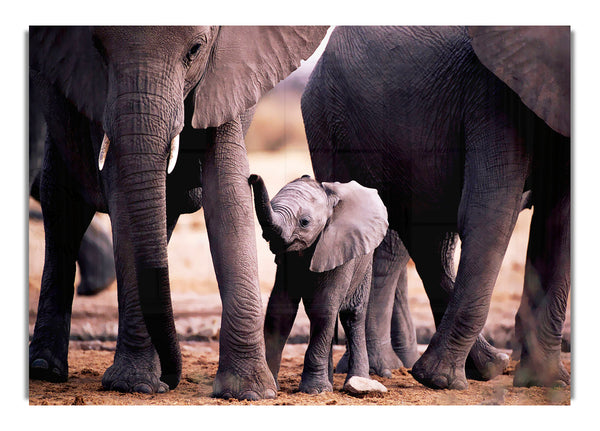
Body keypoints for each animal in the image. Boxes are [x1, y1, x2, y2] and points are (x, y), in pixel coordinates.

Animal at [28, 25, 328, 400]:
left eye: (195, 49)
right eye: (97, 47)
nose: (172, 380)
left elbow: (229, 194)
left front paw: (249, 392)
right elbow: (121, 191)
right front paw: (134, 385)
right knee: (62, 207)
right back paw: (45, 369)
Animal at [248, 175, 390, 394]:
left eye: (304, 222)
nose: (253, 177)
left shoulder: (339, 246)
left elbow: (323, 307)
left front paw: (314, 390)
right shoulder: (287, 259)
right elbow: (280, 309)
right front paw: (273, 386)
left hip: (365, 263)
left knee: (352, 316)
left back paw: (356, 381)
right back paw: (330, 383)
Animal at [302, 27, 568, 392]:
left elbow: (559, 226)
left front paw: (546, 381)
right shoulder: (493, 94)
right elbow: (490, 216)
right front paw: (441, 381)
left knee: (429, 240)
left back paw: (484, 366)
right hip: (332, 123)